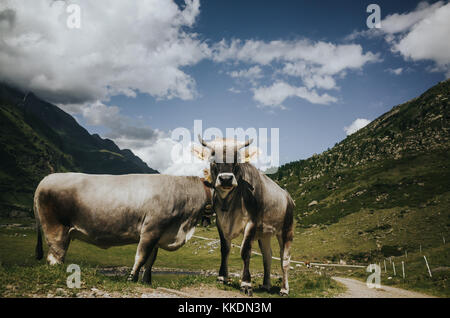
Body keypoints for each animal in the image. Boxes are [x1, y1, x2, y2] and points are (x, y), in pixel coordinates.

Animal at [33, 173, 213, 284]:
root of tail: (46, 179)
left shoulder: (158, 235)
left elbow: (150, 261)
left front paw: (146, 282)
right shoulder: (151, 230)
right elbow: (141, 257)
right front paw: (131, 279)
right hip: (56, 229)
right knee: (55, 256)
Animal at [193, 137, 296, 296]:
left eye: (237, 161)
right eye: (213, 160)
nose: (226, 179)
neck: (229, 204)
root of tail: (288, 197)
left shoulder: (251, 223)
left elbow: (245, 251)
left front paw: (246, 283)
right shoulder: (220, 223)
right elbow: (225, 249)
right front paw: (222, 277)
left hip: (286, 229)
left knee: (284, 259)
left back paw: (284, 289)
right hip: (264, 233)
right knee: (267, 256)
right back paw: (266, 285)